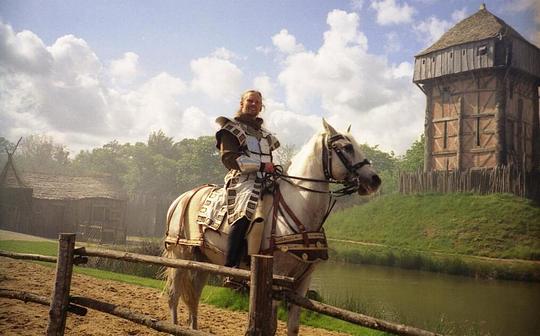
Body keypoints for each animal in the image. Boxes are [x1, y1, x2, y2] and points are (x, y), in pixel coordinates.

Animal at [162, 119, 382, 334]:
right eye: (346, 147)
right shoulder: (276, 280)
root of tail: (181, 198)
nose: (375, 180)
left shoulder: (303, 281)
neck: (299, 208)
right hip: (180, 256)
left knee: (194, 298)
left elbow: (293, 326)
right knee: (174, 295)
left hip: (202, 260)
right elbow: (271, 326)